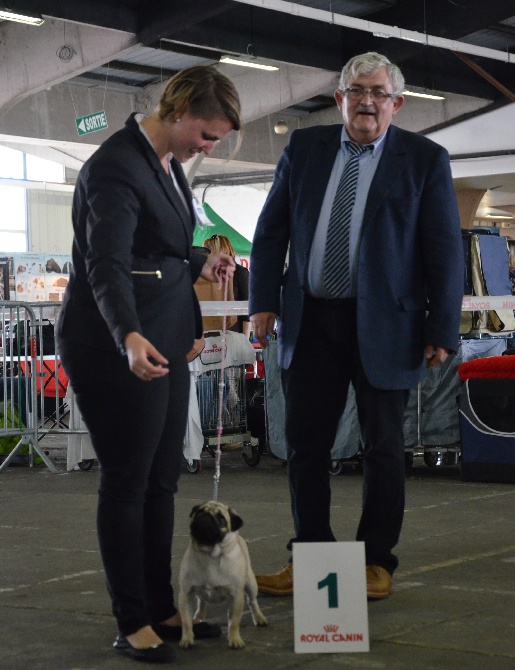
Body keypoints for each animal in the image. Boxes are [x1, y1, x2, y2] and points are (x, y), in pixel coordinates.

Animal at [178, 504, 268, 652]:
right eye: (199, 512)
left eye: (221, 520)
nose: (206, 516)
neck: (210, 555)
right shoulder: (186, 594)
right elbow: (185, 621)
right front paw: (187, 639)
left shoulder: (236, 597)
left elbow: (234, 622)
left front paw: (235, 639)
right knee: (201, 601)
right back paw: (199, 615)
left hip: (251, 583)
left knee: (252, 601)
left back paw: (259, 618)